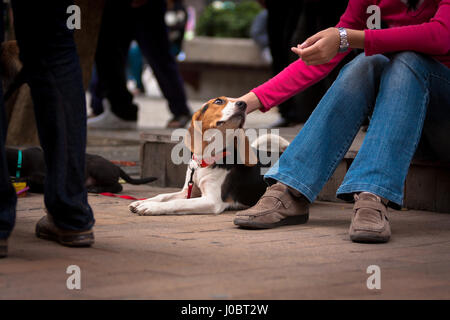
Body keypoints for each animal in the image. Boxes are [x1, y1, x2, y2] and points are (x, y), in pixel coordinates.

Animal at [128, 95, 288, 215]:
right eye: (218, 101)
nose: (243, 104)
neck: (204, 161)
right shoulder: (189, 190)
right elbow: (164, 195)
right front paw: (143, 201)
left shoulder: (212, 201)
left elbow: (178, 202)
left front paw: (151, 207)